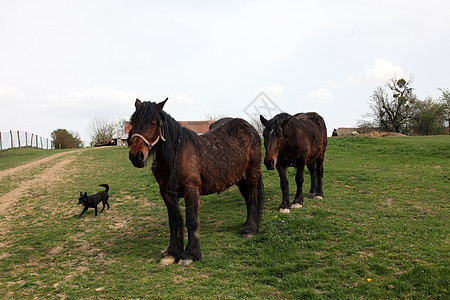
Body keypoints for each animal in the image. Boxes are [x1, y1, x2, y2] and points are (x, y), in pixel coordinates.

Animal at [127, 99, 264, 266]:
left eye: (153, 123)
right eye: (133, 122)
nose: (136, 156)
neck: (175, 155)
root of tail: (250, 128)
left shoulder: (190, 190)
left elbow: (191, 221)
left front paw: (190, 254)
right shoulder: (167, 193)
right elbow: (174, 221)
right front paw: (171, 253)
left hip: (252, 171)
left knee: (252, 195)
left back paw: (250, 229)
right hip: (236, 176)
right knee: (246, 193)